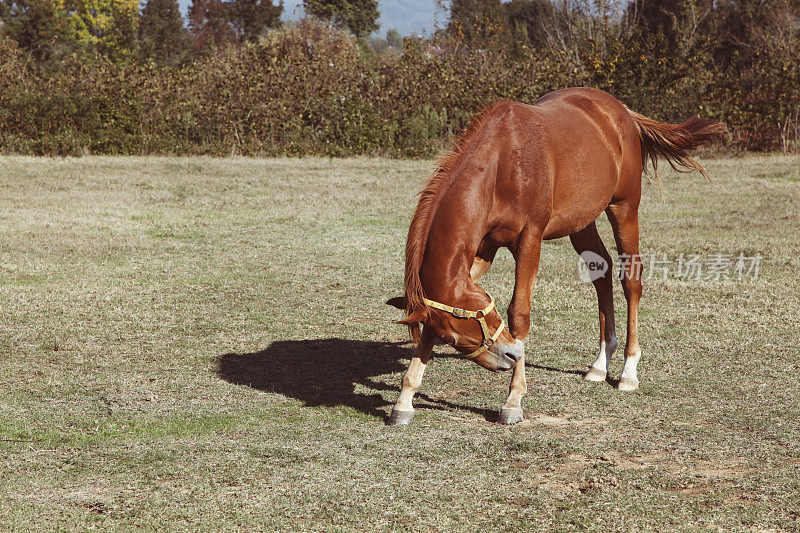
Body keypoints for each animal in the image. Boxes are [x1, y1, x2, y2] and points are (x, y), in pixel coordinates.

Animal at [384, 88, 720, 428]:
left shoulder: (529, 240)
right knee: (602, 271)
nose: (509, 355)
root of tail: (620, 111)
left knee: (631, 280)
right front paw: (405, 398)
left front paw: (514, 399)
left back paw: (628, 371)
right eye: (449, 337)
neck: (502, 163)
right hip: (582, 221)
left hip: (624, 208)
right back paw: (600, 364)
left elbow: (519, 313)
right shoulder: (483, 250)